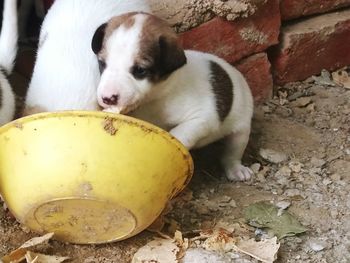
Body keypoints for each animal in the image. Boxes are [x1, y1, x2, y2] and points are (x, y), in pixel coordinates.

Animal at [90, 12, 254, 182]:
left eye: (140, 70)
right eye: (102, 64)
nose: (107, 98)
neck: (156, 98)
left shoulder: (203, 117)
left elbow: (178, 135)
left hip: (241, 131)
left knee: (232, 154)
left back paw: (236, 169)